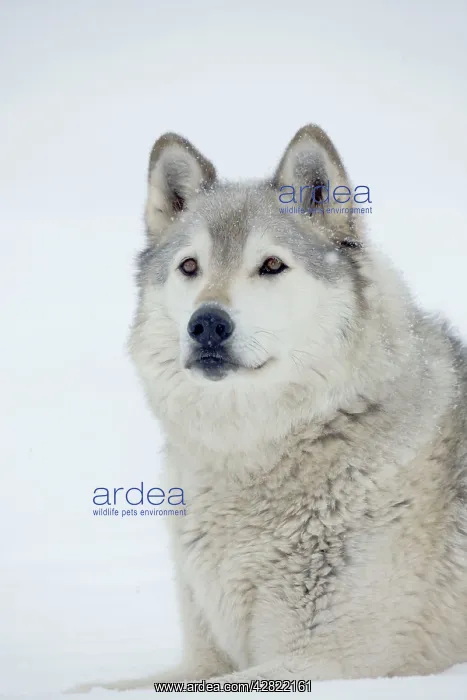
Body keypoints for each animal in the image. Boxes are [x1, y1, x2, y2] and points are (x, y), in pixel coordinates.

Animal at [75, 125, 467, 692]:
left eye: (272, 265)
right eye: (189, 266)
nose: (207, 324)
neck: (248, 459)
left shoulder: (328, 663)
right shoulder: (205, 659)